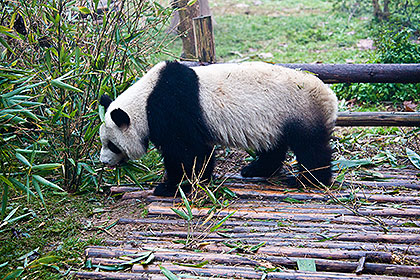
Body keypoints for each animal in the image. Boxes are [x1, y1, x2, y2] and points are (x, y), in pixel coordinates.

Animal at [98, 61, 338, 197]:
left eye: (112, 145)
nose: (103, 161)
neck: (144, 100)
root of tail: (330, 96)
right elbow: (199, 151)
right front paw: (200, 179)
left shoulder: (172, 109)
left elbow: (183, 152)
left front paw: (171, 187)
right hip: (275, 120)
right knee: (274, 147)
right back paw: (255, 169)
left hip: (298, 110)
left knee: (311, 148)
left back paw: (309, 180)